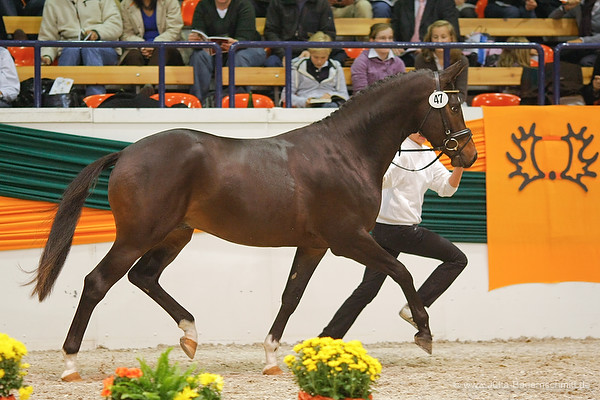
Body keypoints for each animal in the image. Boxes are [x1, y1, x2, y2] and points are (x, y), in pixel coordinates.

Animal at [29, 59, 478, 382]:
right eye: (454, 105)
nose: (469, 155)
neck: (345, 152)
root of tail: (127, 152)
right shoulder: (348, 240)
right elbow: (402, 271)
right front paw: (423, 332)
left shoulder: (314, 245)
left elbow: (291, 296)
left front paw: (272, 356)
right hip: (137, 236)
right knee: (97, 282)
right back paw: (70, 363)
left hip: (175, 235)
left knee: (144, 277)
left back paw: (190, 336)